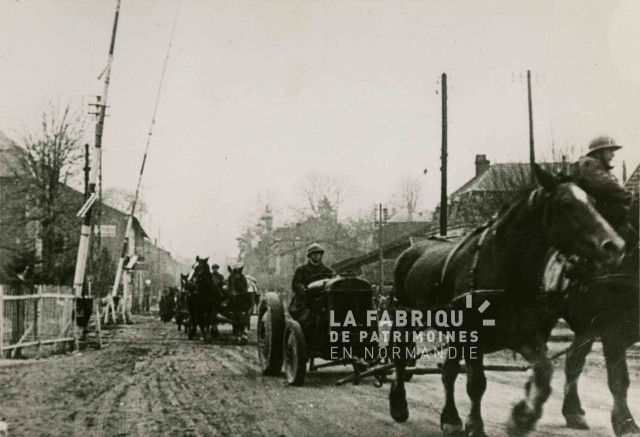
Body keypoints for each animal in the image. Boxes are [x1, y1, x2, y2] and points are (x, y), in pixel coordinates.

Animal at [388, 165, 624, 434]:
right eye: (565, 203)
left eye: (594, 202)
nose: (615, 246)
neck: (503, 266)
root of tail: (411, 250)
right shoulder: (474, 337)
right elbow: (476, 383)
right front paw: (476, 425)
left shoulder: (524, 333)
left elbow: (544, 371)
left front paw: (522, 417)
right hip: (407, 319)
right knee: (400, 358)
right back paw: (399, 404)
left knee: (448, 372)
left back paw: (450, 419)